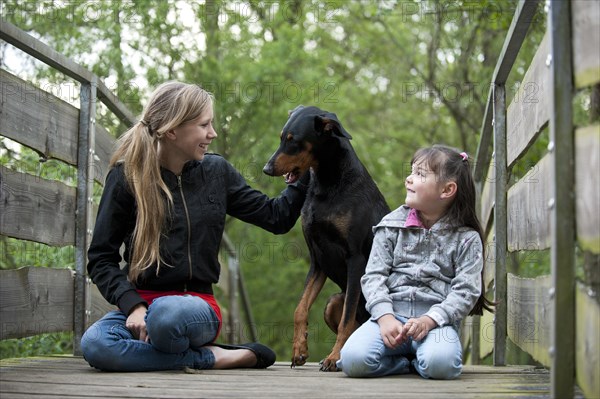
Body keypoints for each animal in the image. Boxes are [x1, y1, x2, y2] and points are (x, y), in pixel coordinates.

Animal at [262, 105, 390, 372]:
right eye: (281, 137)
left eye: (294, 141)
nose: (266, 169)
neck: (327, 183)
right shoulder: (318, 258)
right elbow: (300, 308)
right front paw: (300, 350)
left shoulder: (356, 259)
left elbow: (346, 319)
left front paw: (333, 358)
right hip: (332, 301)